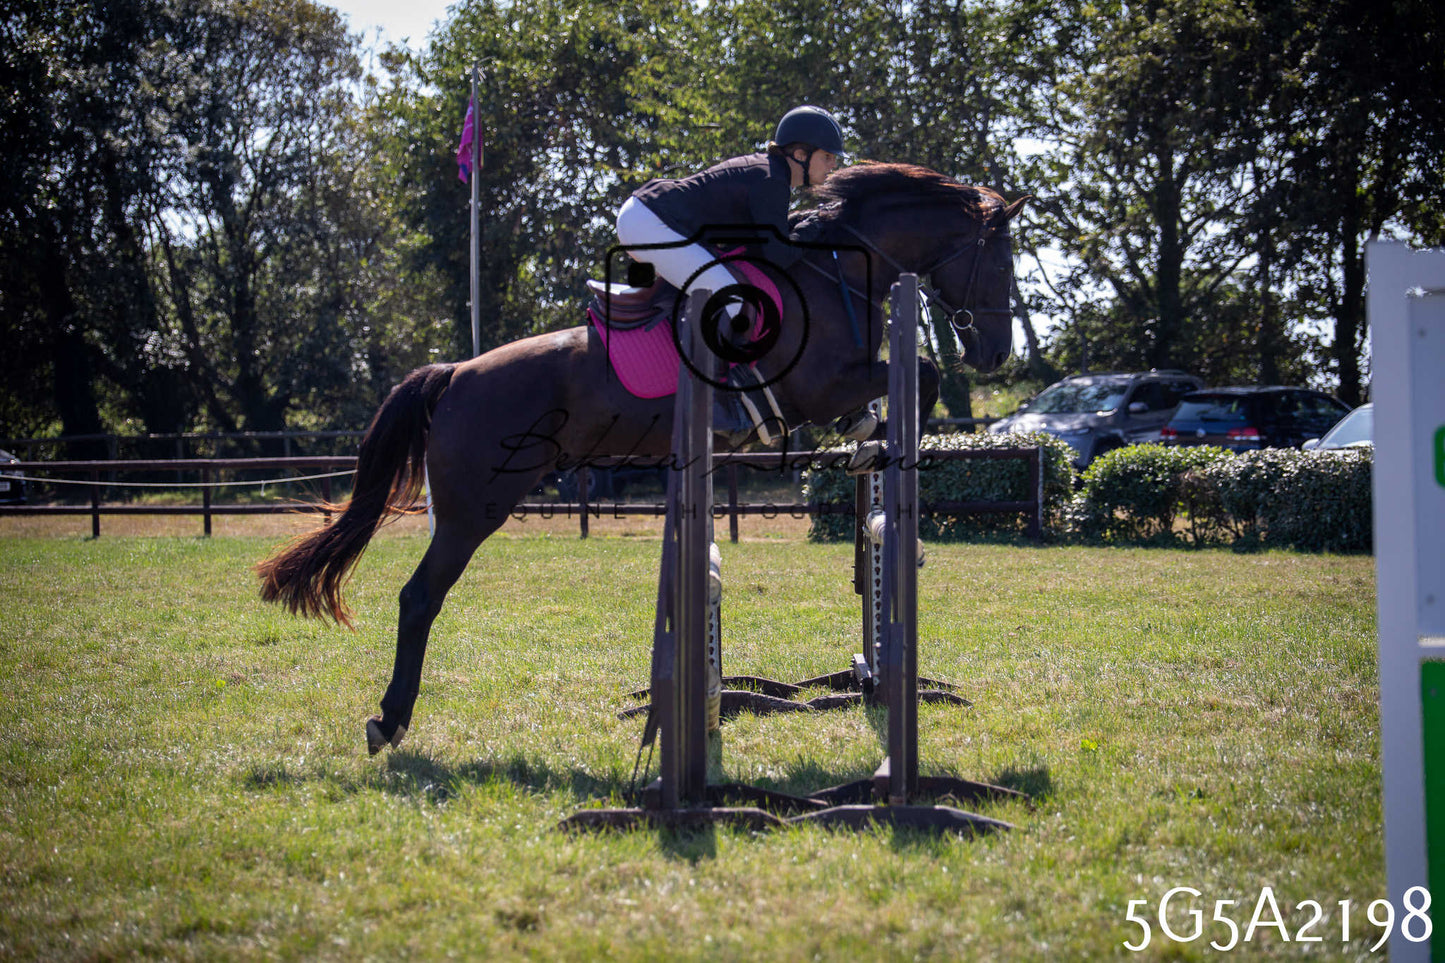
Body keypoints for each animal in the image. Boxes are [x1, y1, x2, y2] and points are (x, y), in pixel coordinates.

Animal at [255, 162, 1027, 753]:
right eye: (1002, 263)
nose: (997, 355)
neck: (833, 270)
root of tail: (453, 374)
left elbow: (908, 380)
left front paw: (871, 433)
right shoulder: (817, 384)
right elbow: (921, 372)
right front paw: (879, 435)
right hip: (476, 505)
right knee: (420, 596)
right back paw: (389, 720)